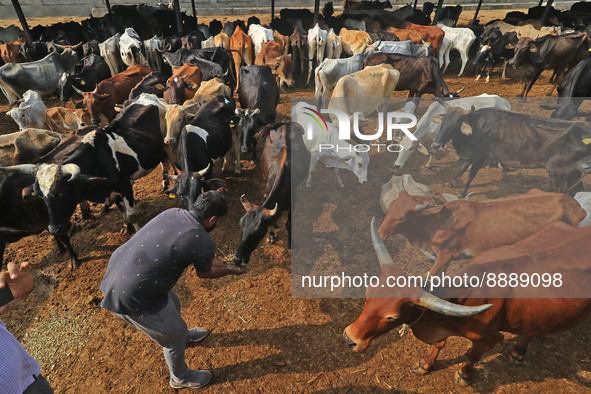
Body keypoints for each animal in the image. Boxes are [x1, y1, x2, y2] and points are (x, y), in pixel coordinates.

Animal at [234, 121, 312, 266]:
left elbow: (289, 224)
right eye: (241, 226)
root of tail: (284, 123)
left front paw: (290, 244)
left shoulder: (293, 203)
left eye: (258, 232)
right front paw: (271, 236)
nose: (237, 259)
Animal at [344, 219, 591, 388]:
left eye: (391, 317)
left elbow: (472, 356)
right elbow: (439, 345)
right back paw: (519, 351)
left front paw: (464, 376)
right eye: (368, 293)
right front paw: (425, 364)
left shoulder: (489, 338)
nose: (349, 337)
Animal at [380, 189, 588, 276]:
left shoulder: (446, 254)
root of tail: (569, 200)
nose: (380, 233)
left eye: (402, 218)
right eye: (390, 208)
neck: (436, 222)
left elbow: (429, 277)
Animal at [430, 103, 591, 197]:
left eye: (456, 124)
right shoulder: (471, 155)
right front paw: (453, 182)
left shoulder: (480, 156)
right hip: (574, 172)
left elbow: (470, 174)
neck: (476, 127)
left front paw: (463, 192)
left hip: (557, 173)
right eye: (443, 121)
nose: (436, 144)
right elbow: (462, 168)